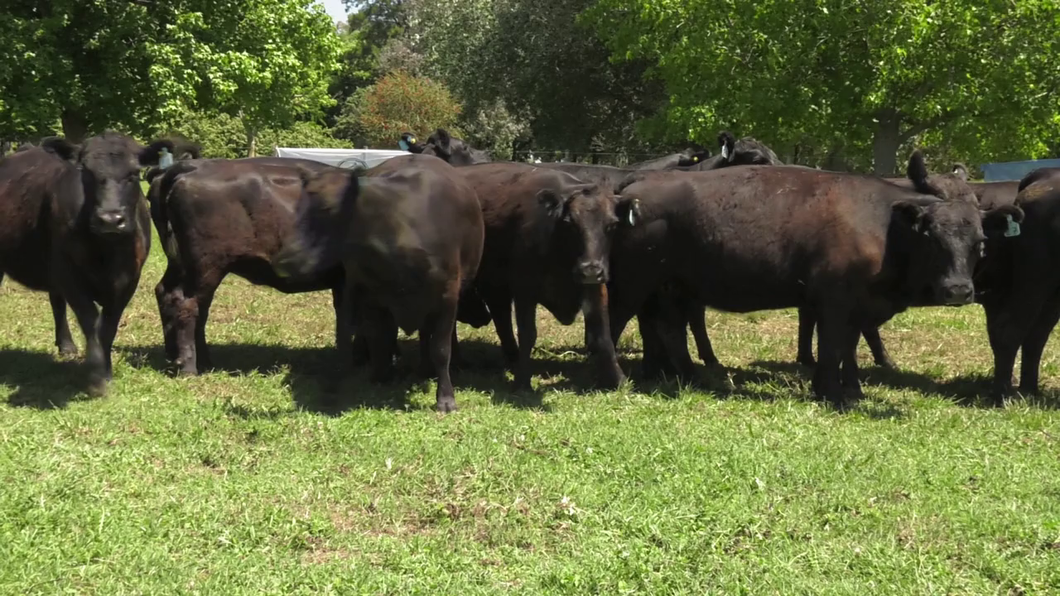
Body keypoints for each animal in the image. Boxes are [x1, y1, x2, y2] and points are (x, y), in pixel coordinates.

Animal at [0, 132, 195, 396]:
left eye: (133, 173)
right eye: (86, 172)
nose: (110, 219)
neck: (107, 251)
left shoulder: (128, 280)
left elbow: (108, 326)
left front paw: (107, 371)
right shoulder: (69, 275)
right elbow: (90, 321)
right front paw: (96, 378)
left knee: (56, 301)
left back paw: (67, 346)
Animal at [275, 152, 485, 411]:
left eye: (328, 210)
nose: (282, 260)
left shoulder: (447, 297)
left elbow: (441, 348)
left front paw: (445, 399)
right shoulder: (371, 296)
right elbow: (379, 339)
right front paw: (381, 377)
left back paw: (425, 369)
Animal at [457, 160, 635, 388]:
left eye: (612, 225)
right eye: (570, 223)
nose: (590, 269)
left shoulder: (596, 287)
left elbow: (603, 335)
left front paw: (618, 379)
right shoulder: (524, 288)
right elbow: (528, 333)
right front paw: (522, 381)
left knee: (500, 315)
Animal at [610, 159, 1021, 407]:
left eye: (980, 242)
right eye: (932, 236)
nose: (958, 290)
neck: (886, 225)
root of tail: (637, 182)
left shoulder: (857, 307)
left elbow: (848, 349)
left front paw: (851, 389)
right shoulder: (835, 304)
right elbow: (832, 347)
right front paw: (831, 392)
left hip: (670, 288)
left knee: (668, 329)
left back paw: (693, 377)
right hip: (632, 284)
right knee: (615, 324)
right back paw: (613, 378)